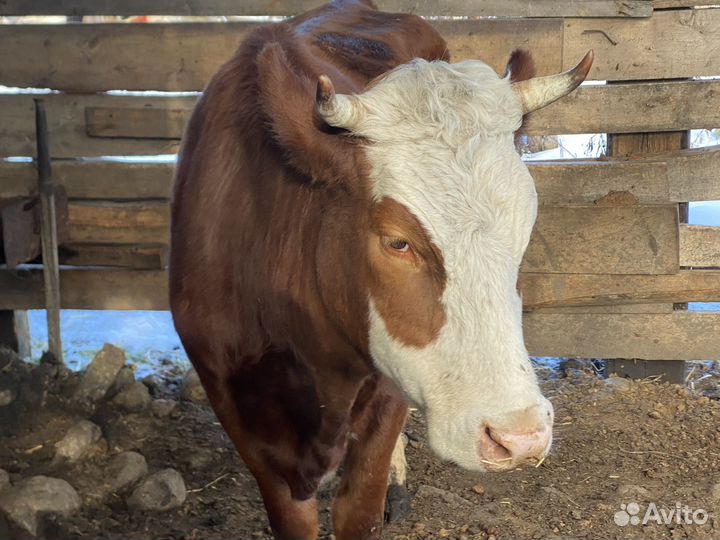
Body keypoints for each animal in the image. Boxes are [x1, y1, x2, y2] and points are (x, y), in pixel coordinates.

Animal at [169, 1, 593, 538]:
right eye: (397, 241)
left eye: (525, 228)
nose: (519, 435)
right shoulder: (235, 405)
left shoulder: (389, 388)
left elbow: (360, 507)